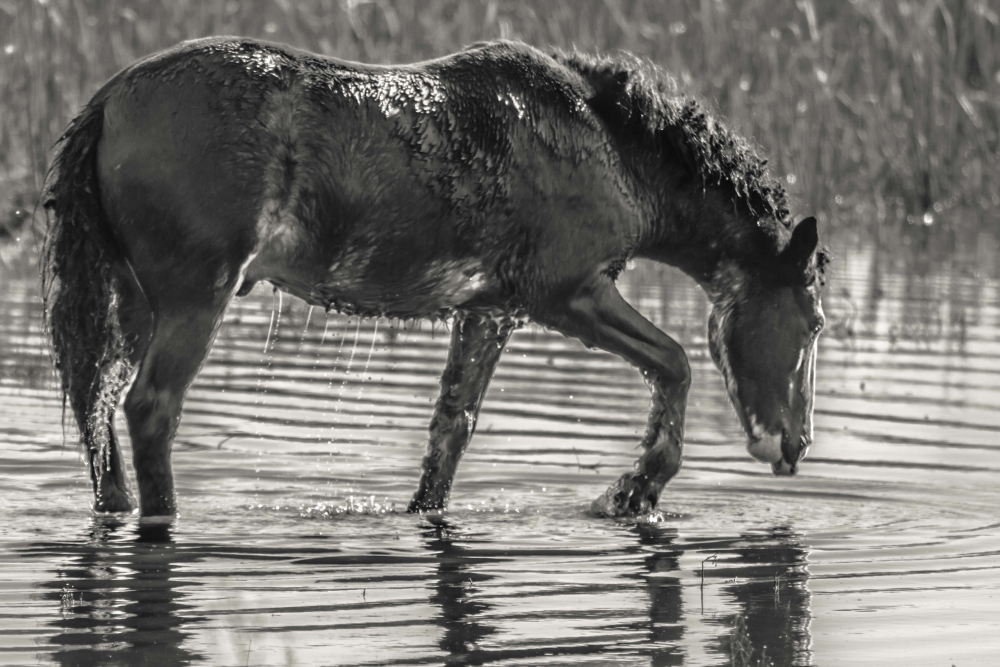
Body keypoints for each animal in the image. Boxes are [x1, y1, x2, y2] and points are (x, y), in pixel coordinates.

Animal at [41, 36, 828, 520]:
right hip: (194, 297)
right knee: (150, 409)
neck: (606, 144)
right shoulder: (569, 294)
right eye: (816, 322)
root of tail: (111, 101)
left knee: (99, 408)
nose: (793, 445)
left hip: (131, 300)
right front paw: (634, 492)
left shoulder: (488, 310)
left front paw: (423, 513)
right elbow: (674, 362)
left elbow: (452, 427)